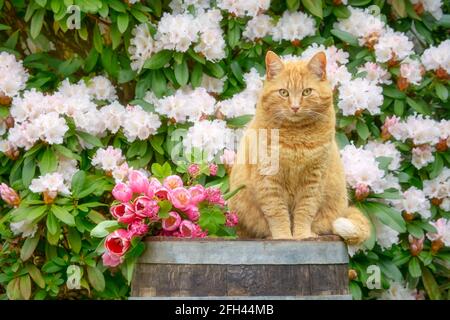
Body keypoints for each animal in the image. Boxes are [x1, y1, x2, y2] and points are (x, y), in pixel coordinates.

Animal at [230, 51, 370, 244]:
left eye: (307, 92)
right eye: (283, 93)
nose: (295, 107)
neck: (296, 136)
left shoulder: (313, 180)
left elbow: (305, 211)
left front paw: (302, 236)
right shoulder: (269, 180)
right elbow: (277, 213)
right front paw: (283, 237)